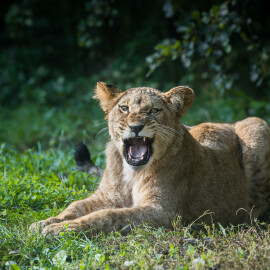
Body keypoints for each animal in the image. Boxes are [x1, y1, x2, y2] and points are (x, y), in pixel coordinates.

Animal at [29, 81, 270, 235]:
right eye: (124, 108)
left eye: (154, 110)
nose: (136, 127)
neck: (129, 173)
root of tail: (228, 123)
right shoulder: (107, 196)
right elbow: (75, 206)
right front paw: (44, 223)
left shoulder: (163, 212)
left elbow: (108, 216)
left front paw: (60, 230)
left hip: (256, 124)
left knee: (259, 204)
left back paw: (243, 218)